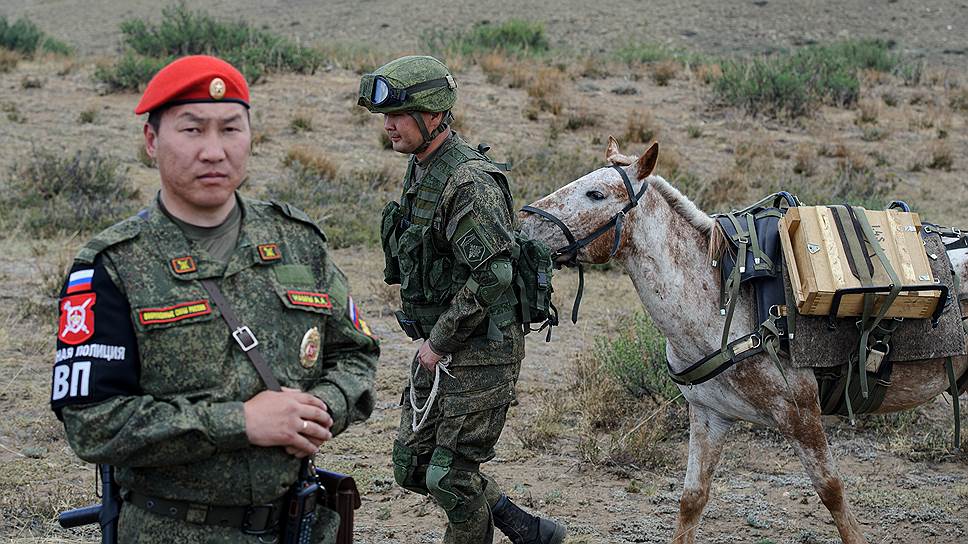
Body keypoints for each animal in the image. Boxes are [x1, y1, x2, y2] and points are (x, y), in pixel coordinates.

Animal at [520, 137, 968, 544]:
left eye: (595, 193)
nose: (524, 226)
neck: (723, 304)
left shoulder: (801, 416)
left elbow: (834, 496)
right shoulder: (709, 415)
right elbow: (691, 501)